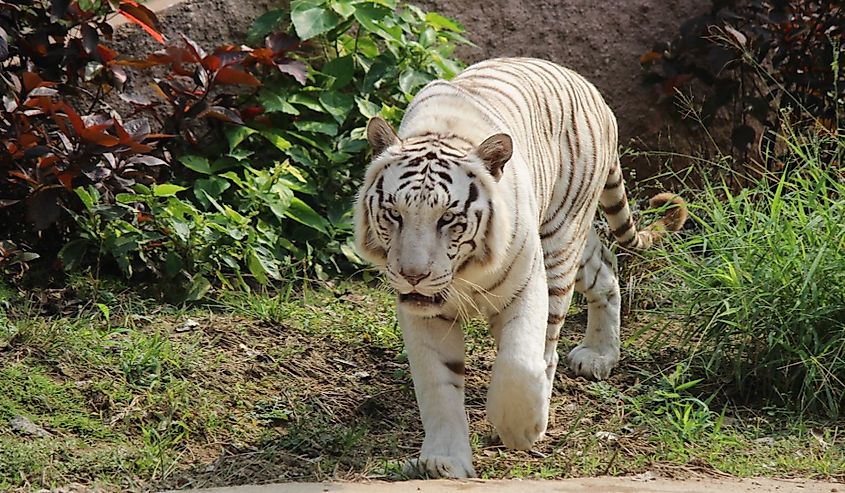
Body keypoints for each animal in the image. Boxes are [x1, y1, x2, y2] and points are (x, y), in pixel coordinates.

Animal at [353, 57, 687, 479]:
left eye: (447, 218)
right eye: (394, 214)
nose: (414, 276)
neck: (464, 276)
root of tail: (591, 90)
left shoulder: (528, 284)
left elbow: (519, 359)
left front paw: (519, 428)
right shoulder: (424, 314)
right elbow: (437, 383)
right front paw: (444, 462)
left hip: (560, 239)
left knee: (548, 342)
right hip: (578, 247)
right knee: (607, 268)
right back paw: (600, 354)